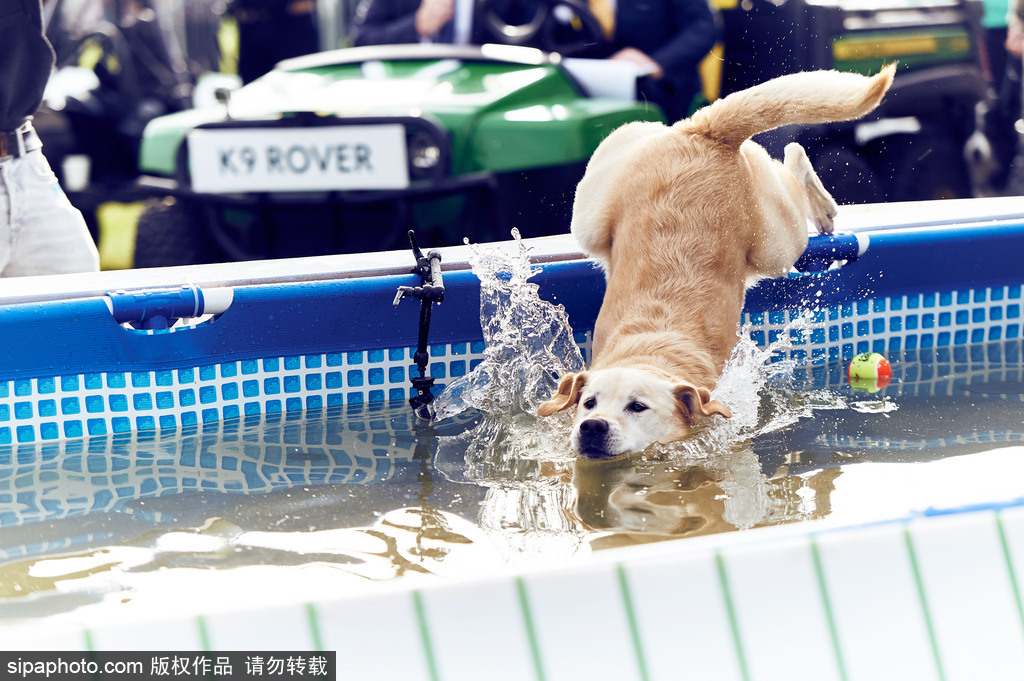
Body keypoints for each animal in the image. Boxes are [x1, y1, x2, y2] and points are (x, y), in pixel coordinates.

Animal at [540, 65, 892, 456]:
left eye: (637, 406)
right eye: (589, 402)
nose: (592, 425)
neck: (650, 351)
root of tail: (707, 135)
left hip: (774, 246)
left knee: (794, 156)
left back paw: (822, 205)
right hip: (598, 205)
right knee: (789, 152)